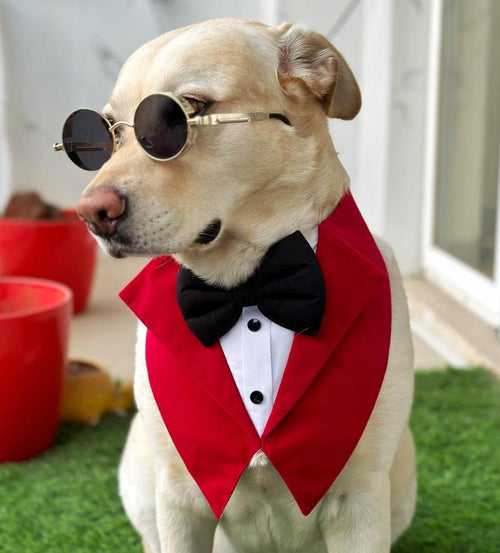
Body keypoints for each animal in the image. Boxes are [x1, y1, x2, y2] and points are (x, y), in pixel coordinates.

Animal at [75, 17, 418, 552]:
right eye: (107, 132)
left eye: (185, 111)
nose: (91, 214)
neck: (246, 286)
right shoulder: (179, 499)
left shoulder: (359, 502)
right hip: (141, 476)